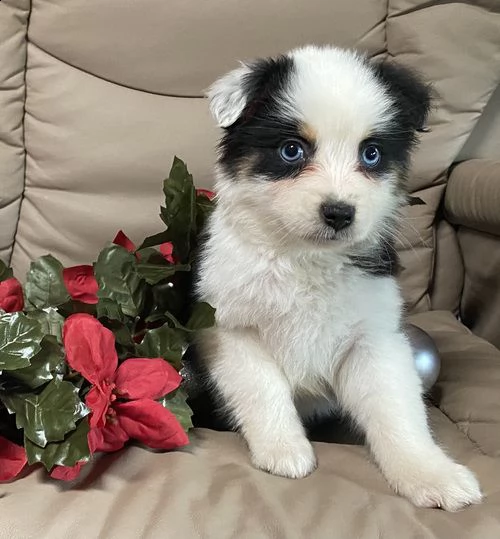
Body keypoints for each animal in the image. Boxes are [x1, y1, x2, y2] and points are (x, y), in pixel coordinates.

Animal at [194, 45, 480, 510]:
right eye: (292, 150)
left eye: (371, 154)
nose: (339, 213)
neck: (304, 258)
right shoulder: (231, 328)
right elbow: (262, 387)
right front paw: (284, 450)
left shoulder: (374, 338)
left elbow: (397, 409)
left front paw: (431, 474)